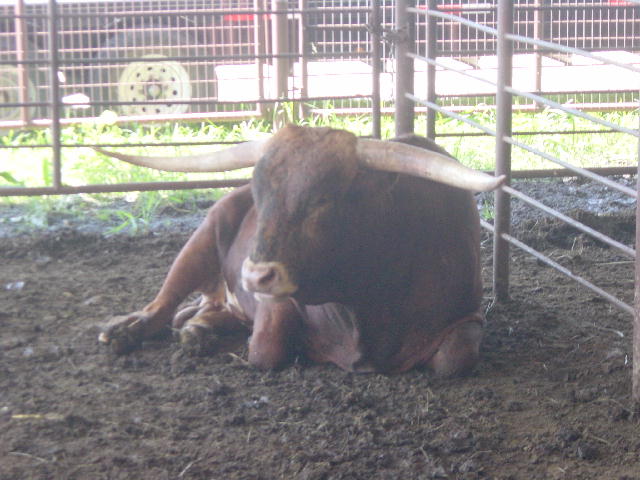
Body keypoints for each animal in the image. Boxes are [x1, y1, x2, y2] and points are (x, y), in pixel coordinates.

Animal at [96, 125, 504, 376]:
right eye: (259, 193)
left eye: (324, 200)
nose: (254, 275)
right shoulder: (277, 302)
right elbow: (265, 350)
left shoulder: (468, 315)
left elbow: (454, 359)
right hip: (201, 238)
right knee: (163, 304)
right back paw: (126, 331)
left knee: (205, 313)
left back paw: (198, 331)